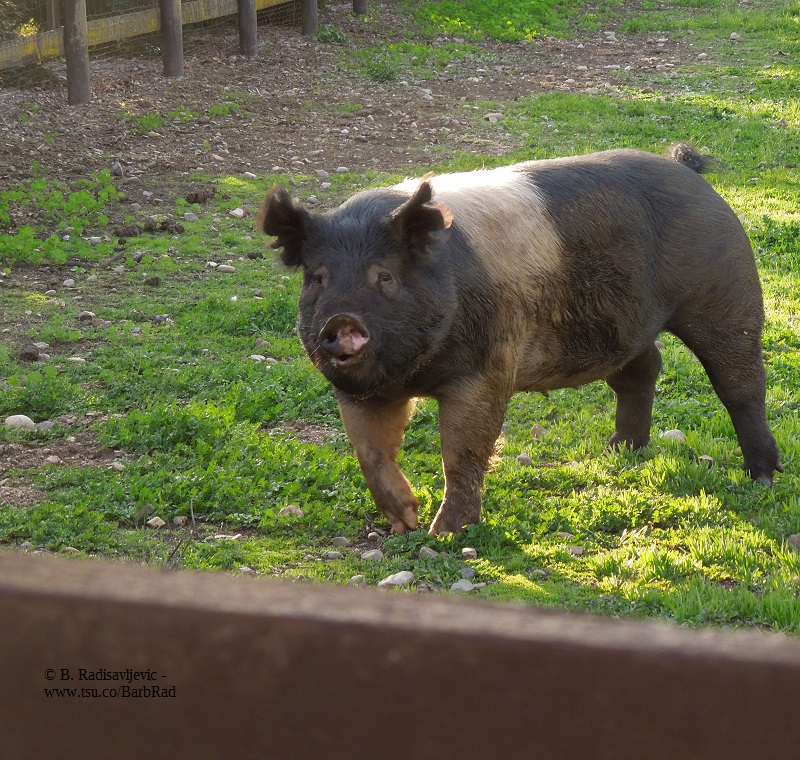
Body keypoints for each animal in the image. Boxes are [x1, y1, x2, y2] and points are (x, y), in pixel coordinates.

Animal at [260, 144, 780, 536]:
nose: (340, 320)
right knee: (643, 367)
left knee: (741, 383)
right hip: (620, 324)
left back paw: (761, 476)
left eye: (384, 276)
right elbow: (370, 454)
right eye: (318, 277)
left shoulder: (485, 369)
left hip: (727, 290)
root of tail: (689, 171)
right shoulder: (360, 390)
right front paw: (404, 523)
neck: (413, 373)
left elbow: (463, 451)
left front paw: (444, 535)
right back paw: (616, 451)